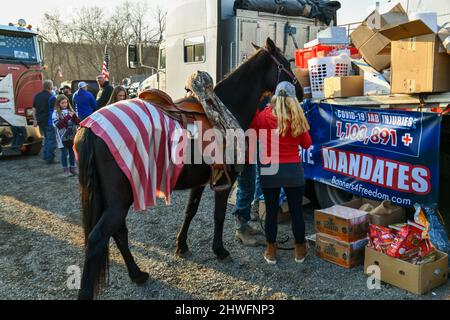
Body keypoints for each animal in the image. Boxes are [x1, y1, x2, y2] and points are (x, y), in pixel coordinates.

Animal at [75, 38, 304, 300]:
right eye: (286, 64)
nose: (302, 92)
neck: (224, 108)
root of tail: (90, 127)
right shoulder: (224, 181)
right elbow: (218, 216)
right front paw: (219, 250)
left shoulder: (201, 181)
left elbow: (190, 212)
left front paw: (181, 245)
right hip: (119, 200)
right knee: (98, 238)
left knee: (118, 232)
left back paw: (137, 274)